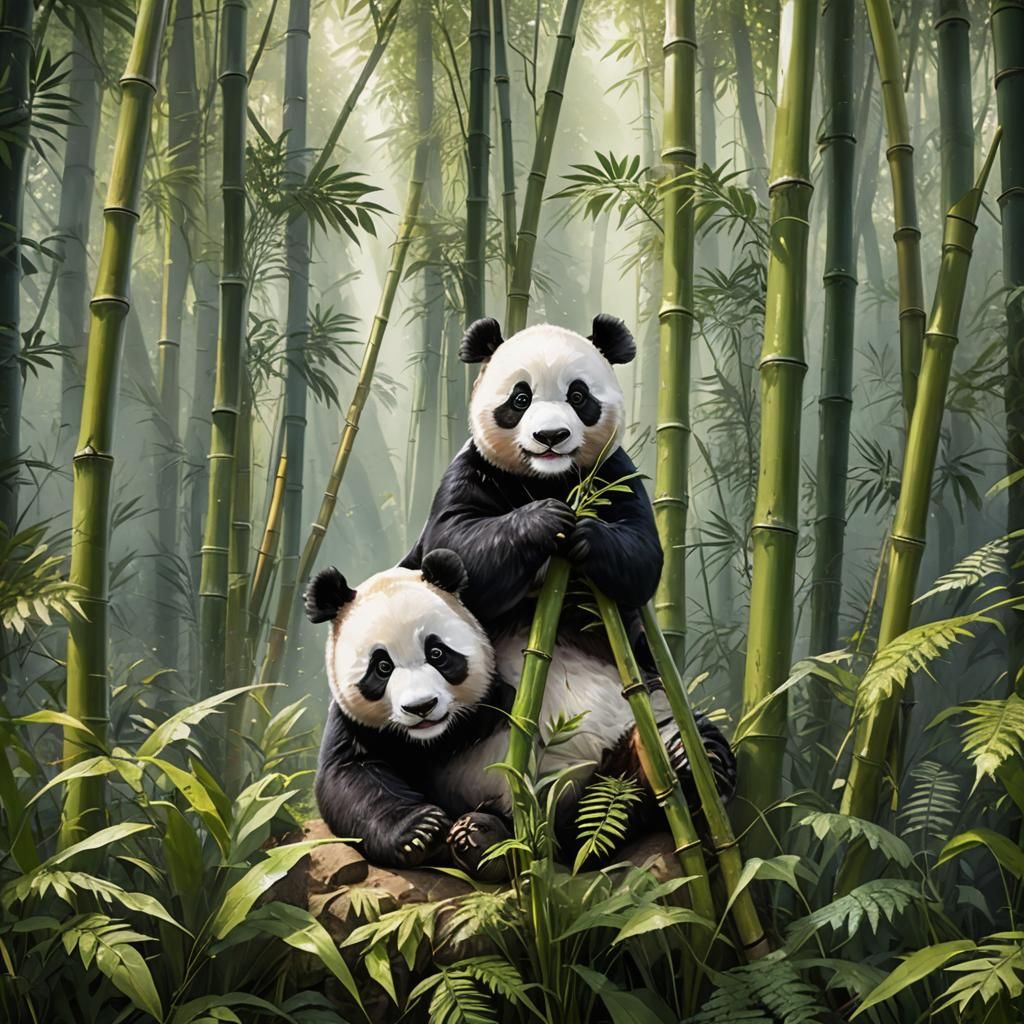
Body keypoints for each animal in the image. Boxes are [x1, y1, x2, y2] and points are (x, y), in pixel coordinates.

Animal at [306, 549, 735, 880]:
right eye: (381, 667)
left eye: (437, 653)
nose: (421, 707)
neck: (439, 735)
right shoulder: (357, 724)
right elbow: (352, 776)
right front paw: (419, 832)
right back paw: (482, 840)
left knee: (656, 752)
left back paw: (694, 759)